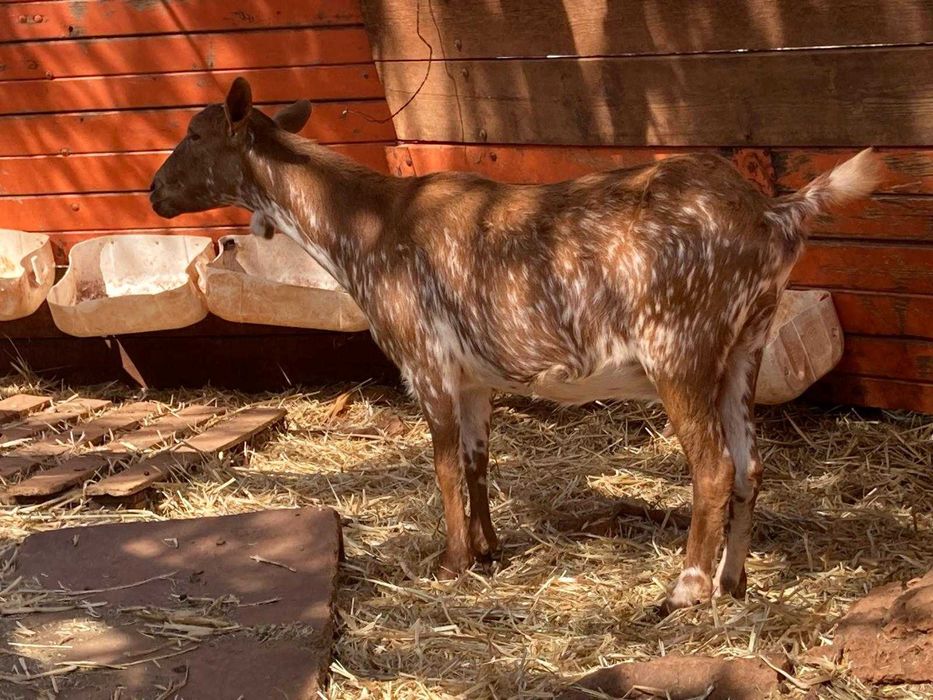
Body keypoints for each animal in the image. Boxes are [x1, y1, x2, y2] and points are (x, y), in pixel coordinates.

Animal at [150, 77, 880, 610]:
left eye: (193, 133)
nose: (154, 191)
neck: (363, 227)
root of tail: (774, 216)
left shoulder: (426, 362)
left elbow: (444, 465)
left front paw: (449, 564)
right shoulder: (475, 378)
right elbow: (478, 463)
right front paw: (488, 550)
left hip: (679, 344)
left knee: (714, 466)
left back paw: (686, 591)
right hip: (746, 346)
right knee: (751, 465)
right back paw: (733, 583)